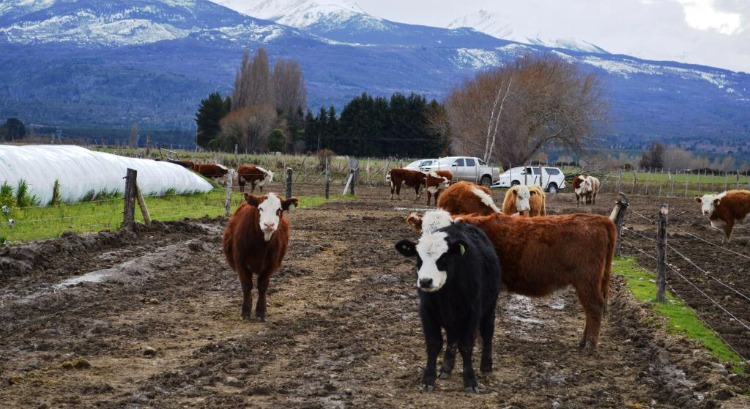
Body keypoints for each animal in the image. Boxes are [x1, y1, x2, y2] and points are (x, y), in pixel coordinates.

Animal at [222, 191, 298, 322]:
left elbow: (263, 286)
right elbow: (247, 286)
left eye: (279, 209)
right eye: (260, 208)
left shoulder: (271, 265)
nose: (269, 224)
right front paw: (246, 311)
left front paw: (261, 311)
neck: (260, 246)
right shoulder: (241, 263)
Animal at [396, 220, 502, 392]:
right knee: (452, 338)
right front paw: (428, 379)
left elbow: (466, 345)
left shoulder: (472, 313)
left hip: (489, 307)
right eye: (418, 257)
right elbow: (434, 343)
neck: (446, 295)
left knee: (487, 333)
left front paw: (470, 381)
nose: (425, 281)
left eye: (444, 257)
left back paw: (486, 367)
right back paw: (446, 367)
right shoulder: (426, 312)